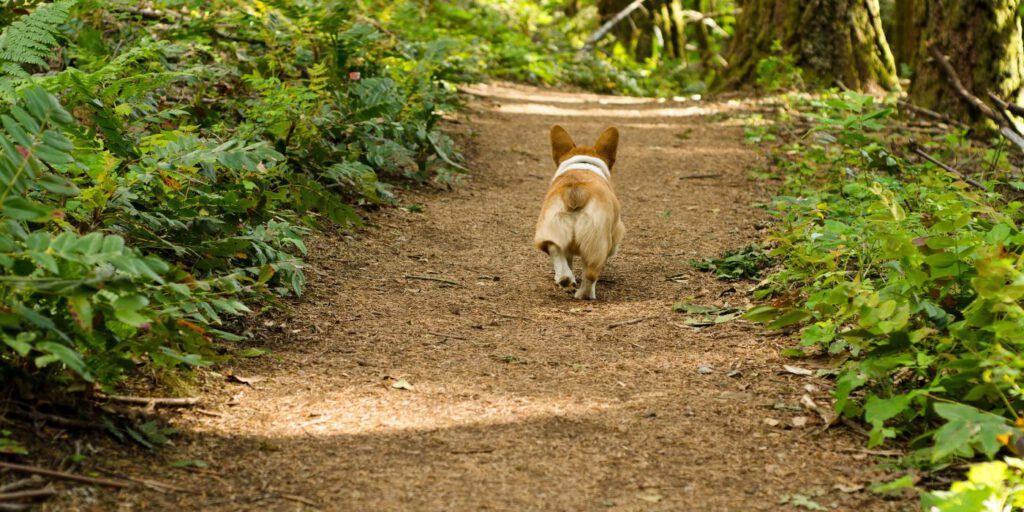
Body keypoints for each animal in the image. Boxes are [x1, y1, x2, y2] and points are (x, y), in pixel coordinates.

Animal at [536, 124, 622, 299]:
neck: (583, 163)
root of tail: (576, 191)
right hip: (598, 242)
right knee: (591, 273)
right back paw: (584, 295)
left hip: (550, 228)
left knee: (554, 248)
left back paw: (564, 278)